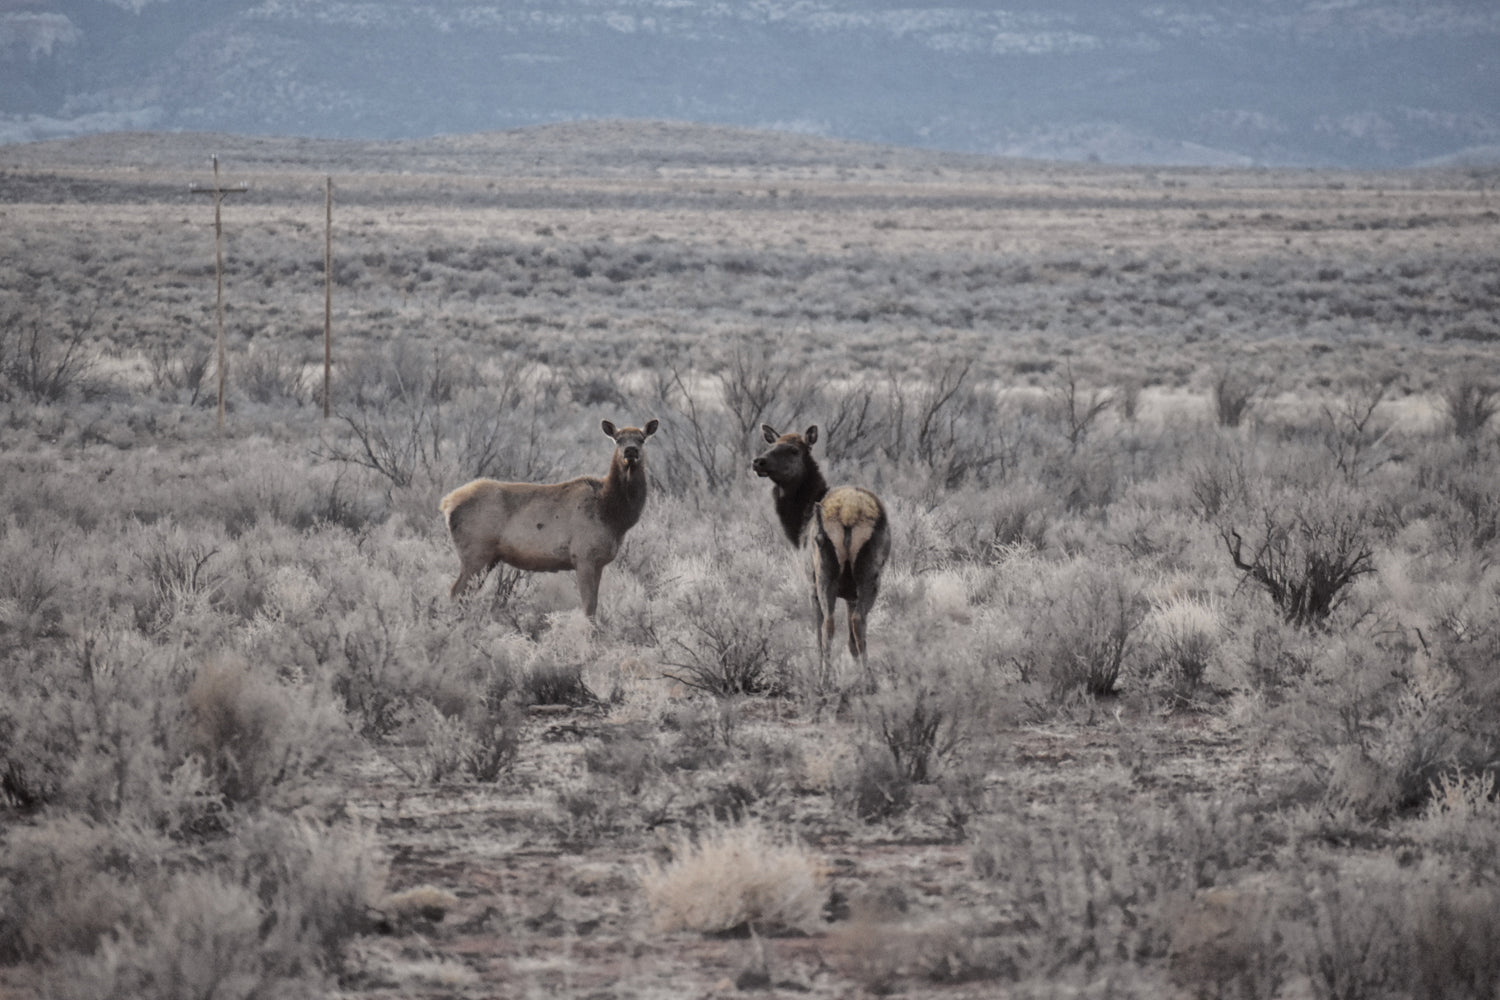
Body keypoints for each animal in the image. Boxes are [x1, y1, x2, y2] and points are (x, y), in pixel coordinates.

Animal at [441, 416, 660, 617]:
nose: (630, 451)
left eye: (641, 439)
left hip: (488, 557)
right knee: (456, 592)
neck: (612, 516)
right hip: (475, 552)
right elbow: (588, 607)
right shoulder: (583, 555)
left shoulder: (598, 562)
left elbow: (594, 606)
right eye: (618, 439)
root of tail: (447, 503)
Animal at [750, 422, 888, 671]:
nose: (758, 462)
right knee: (858, 622)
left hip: (824, 568)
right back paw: (867, 676)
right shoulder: (851, 594)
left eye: (794, 450)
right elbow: (852, 644)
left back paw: (825, 676)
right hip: (870, 571)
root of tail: (849, 515)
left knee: (828, 626)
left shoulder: (810, 581)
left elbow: (817, 632)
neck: (799, 527)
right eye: (772, 445)